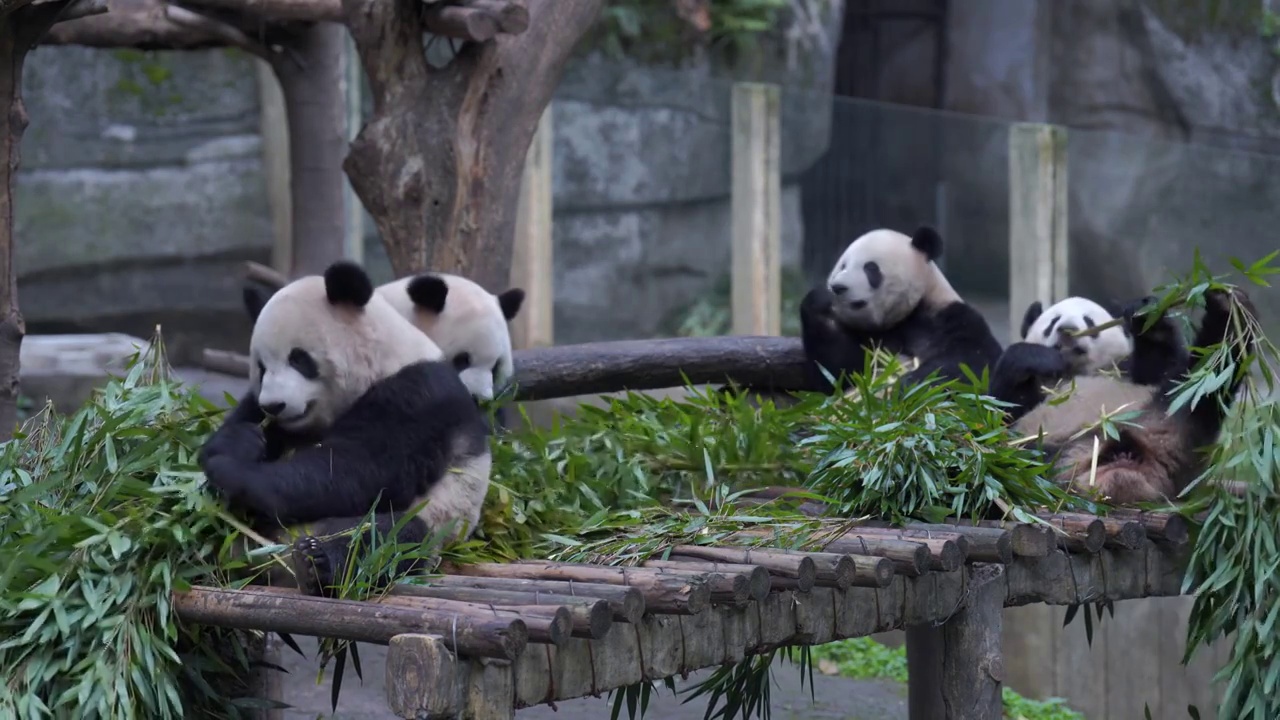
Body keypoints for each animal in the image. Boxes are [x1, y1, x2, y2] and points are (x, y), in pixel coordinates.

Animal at [197, 260, 491, 591]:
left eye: (299, 359)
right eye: (261, 367)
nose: (274, 406)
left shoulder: (419, 396)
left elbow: (359, 469)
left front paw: (232, 474)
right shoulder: (260, 405)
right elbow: (237, 429)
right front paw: (242, 441)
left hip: (438, 518)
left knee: (386, 537)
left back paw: (317, 562)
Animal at [798, 224, 998, 392]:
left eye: (870, 268)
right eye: (843, 266)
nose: (838, 287)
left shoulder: (949, 318)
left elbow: (969, 364)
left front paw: (907, 384)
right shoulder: (866, 338)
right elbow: (840, 373)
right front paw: (820, 300)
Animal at [988, 283, 1259, 502]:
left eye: (1089, 322)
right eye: (1052, 322)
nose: (1067, 330)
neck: (1074, 371)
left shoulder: (1131, 372)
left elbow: (1162, 363)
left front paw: (1149, 320)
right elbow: (1001, 408)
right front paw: (1036, 358)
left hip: (1169, 419)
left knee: (1206, 378)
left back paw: (1228, 308)